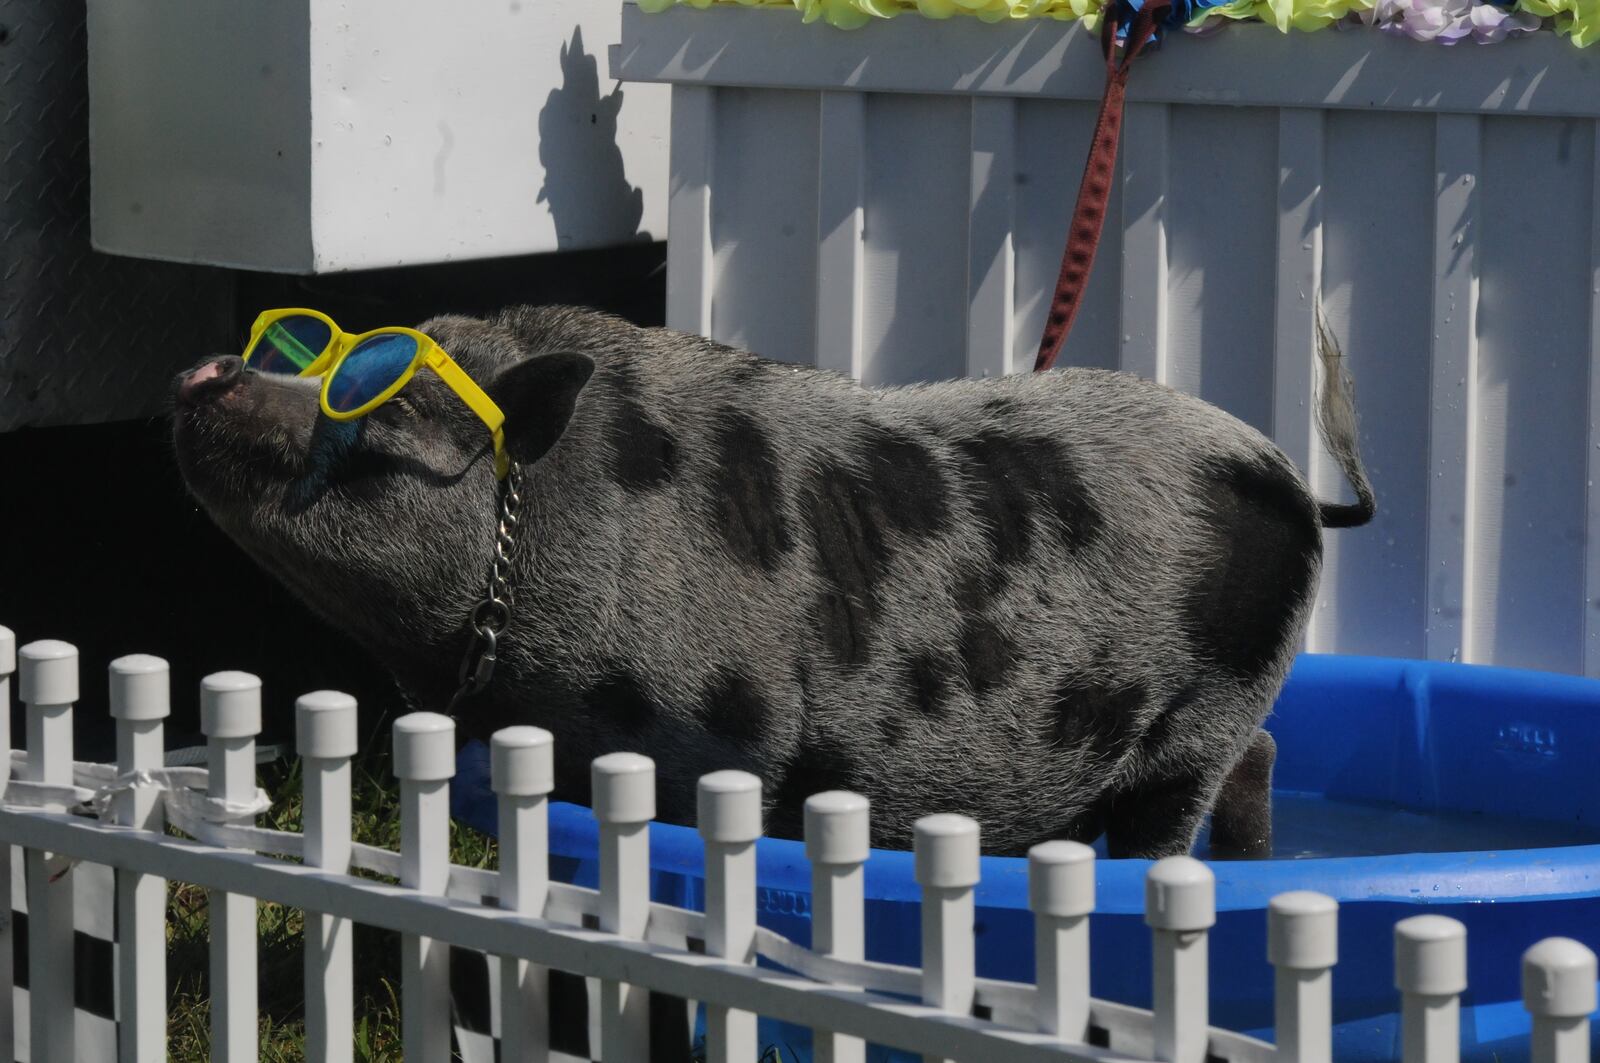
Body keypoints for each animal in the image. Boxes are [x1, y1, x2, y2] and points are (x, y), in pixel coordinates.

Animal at [172, 300, 1376, 858]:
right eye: (296, 354)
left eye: (388, 416)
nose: (208, 368)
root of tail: (1289, 478)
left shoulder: (723, 734)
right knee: (1263, 758)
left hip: (1201, 711)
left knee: (1186, 802)